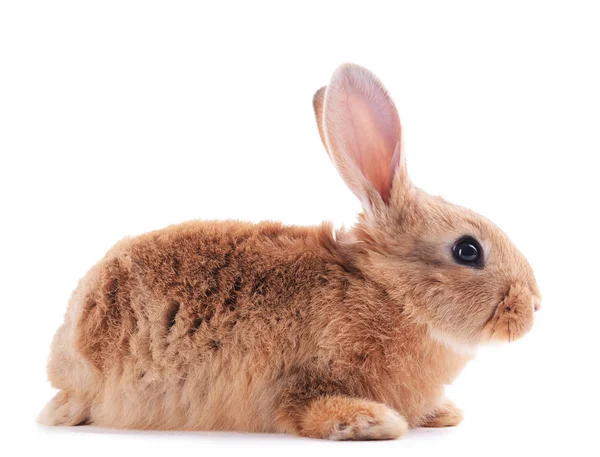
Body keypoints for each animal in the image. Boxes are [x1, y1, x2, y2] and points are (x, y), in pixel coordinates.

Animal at [39, 63, 540, 438]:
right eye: (468, 250)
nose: (534, 305)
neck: (388, 295)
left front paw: (442, 414)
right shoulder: (301, 381)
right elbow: (305, 409)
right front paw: (372, 422)